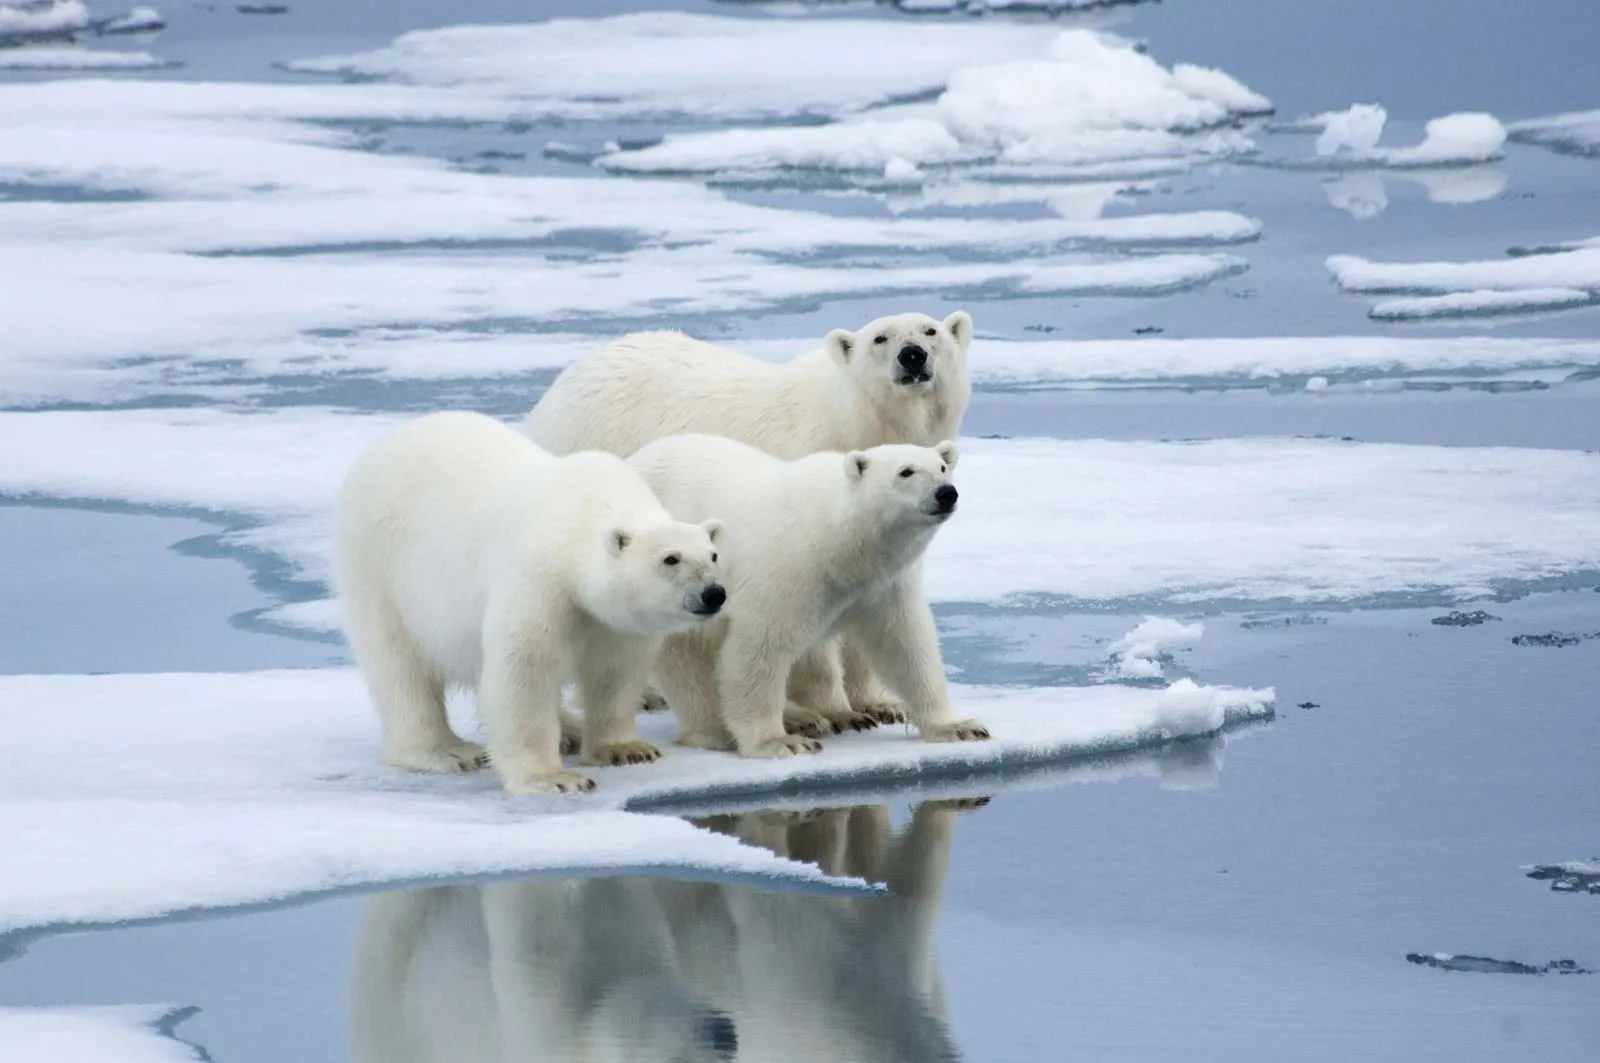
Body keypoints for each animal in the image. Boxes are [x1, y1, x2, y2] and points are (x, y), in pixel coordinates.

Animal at [337, 409, 726, 794]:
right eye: (670, 559)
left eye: (713, 555)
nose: (713, 594)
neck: (580, 517)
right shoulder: (540, 581)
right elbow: (524, 671)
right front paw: (554, 778)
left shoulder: (616, 621)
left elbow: (616, 670)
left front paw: (627, 749)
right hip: (378, 566)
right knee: (399, 667)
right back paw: (448, 751)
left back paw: (569, 729)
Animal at [524, 307, 972, 723]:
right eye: (880, 337)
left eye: (930, 331)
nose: (912, 356)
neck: (852, 420)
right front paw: (835, 709)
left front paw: (879, 704)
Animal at [627, 432, 985, 755]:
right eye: (906, 472)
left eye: (942, 467)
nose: (946, 493)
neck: (835, 538)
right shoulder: (787, 570)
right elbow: (758, 650)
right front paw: (777, 742)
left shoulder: (882, 585)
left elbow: (905, 644)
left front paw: (957, 726)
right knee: (685, 656)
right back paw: (718, 730)